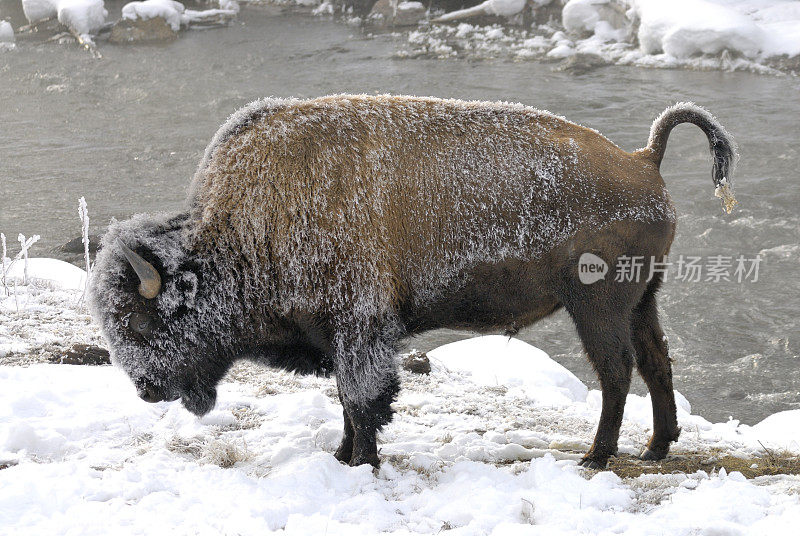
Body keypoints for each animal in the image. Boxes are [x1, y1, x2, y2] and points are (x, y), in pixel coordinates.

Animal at [89, 95, 736, 468]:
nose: (145, 389)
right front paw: (342, 454)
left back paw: (596, 458)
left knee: (616, 372)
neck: (244, 228)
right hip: (641, 300)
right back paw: (656, 447)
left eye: (141, 321)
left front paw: (361, 461)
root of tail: (643, 159)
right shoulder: (342, 337)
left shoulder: (360, 330)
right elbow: (347, 403)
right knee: (655, 362)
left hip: (597, 306)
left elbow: (362, 400)